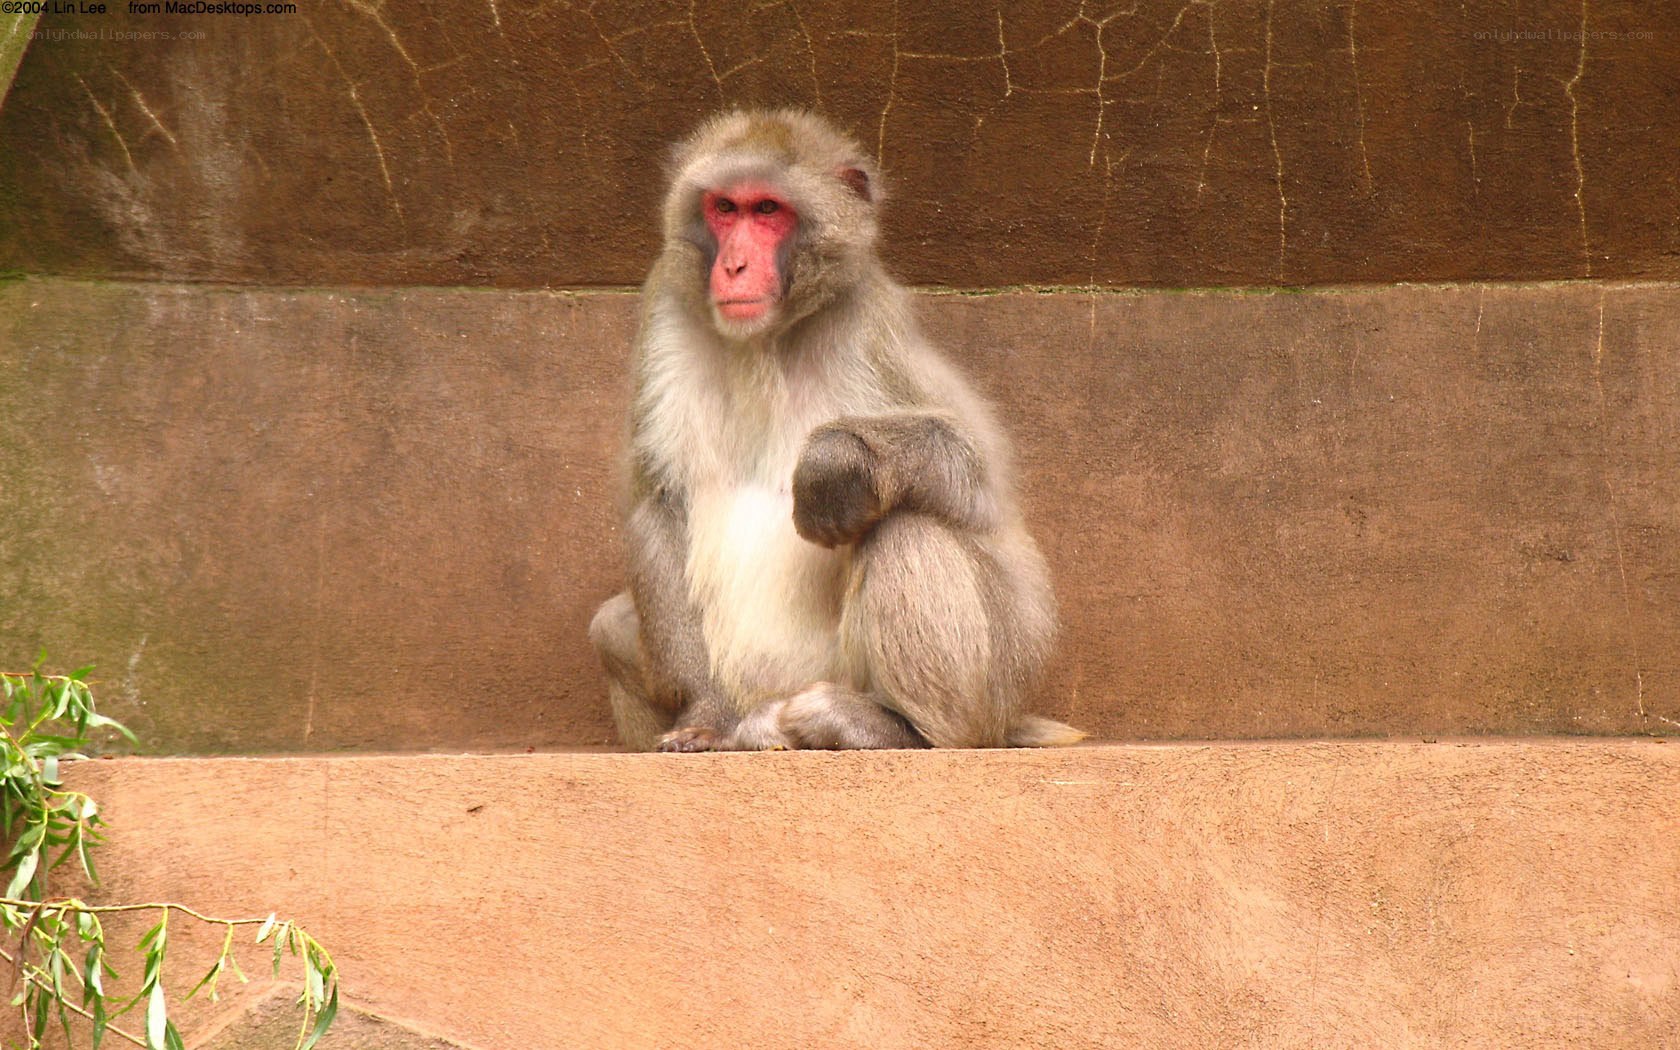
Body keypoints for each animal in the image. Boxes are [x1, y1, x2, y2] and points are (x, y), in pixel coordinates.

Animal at [589, 109, 1084, 752]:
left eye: (767, 210)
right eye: (724, 207)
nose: (733, 266)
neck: (766, 341)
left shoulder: (870, 325)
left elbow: (977, 476)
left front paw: (836, 464)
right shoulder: (664, 311)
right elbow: (659, 500)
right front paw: (703, 711)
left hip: (992, 686)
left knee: (908, 527)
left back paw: (896, 730)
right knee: (609, 625)